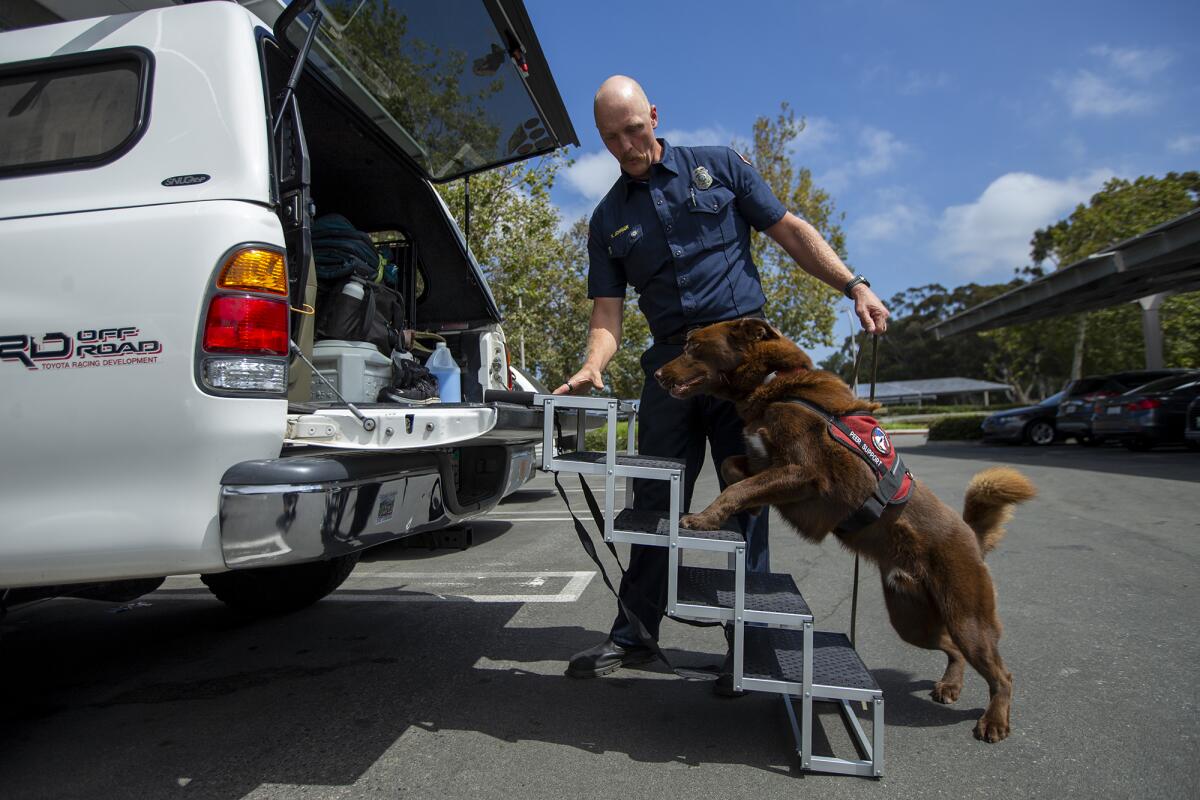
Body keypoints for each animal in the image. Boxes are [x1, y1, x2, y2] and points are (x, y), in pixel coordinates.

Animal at [652, 319, 1036, 743]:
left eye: (693, 346)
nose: (656, 374)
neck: (774, 382)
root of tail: (971, 535)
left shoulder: (804, 472)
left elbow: (737, 485)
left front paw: (703, 518)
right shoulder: (766, 464)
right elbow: (733, 469)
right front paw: (741, 508)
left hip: (966, 614)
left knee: (1002, 672)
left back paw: (994, 721)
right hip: (911, 618)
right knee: (952, 647)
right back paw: (950, 685)